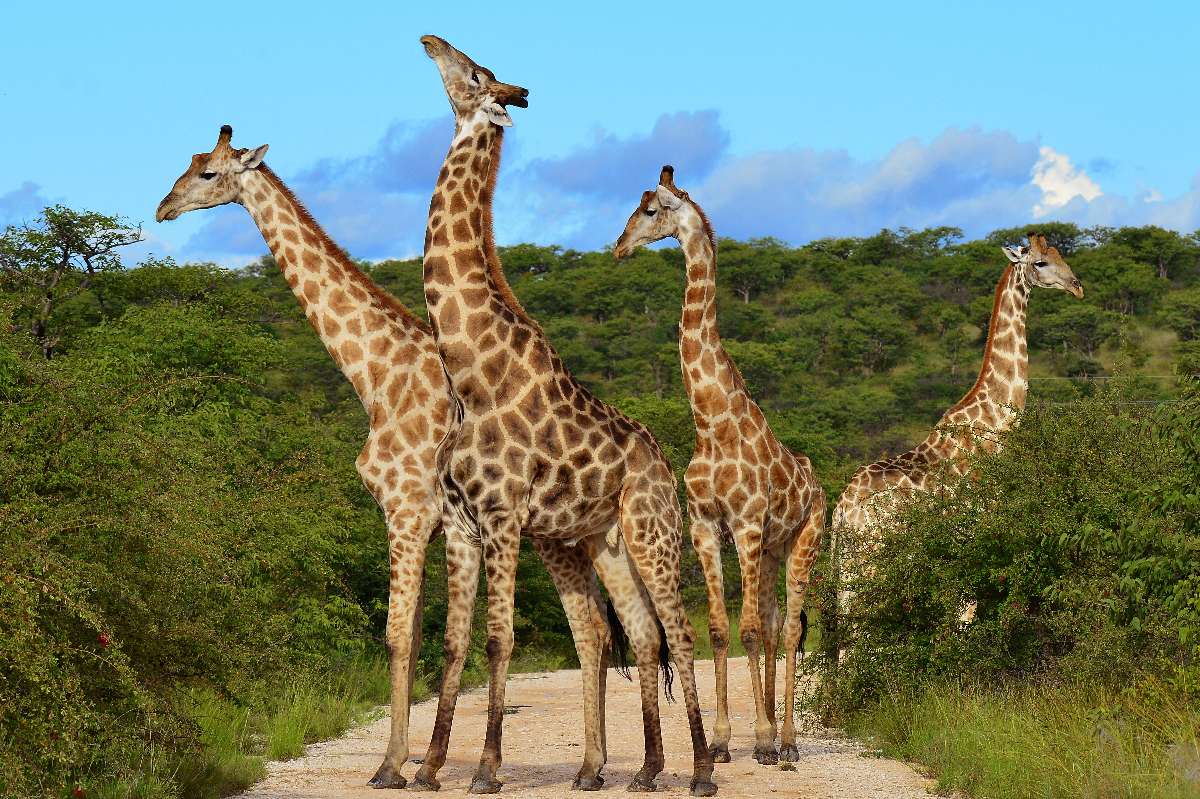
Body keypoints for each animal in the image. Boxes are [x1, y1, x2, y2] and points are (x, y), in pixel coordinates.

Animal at [154, 127, 627, 790]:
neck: (375, 373)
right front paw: (415, 759)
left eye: (207, 173)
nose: (162, 208)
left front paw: (391, 766)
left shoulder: (404, 510)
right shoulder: (428, 522)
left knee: (597, 627)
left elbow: (398, 633)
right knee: (601, 629)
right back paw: (597, 762)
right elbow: (423, 633)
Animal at [415, 35, 716, 796]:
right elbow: (455, 641)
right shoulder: (460, 521)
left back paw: (701, 769)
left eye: (474, 74)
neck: (469, 371)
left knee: (680, 630)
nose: (430, 41)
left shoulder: (501, 515)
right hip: (600, 539)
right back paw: (633, 769)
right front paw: (424, 767)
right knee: (634, 632)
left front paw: (485, 769)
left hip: (651, 530)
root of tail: (662, 459)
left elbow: (499, 638)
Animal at [613, 166, 826, 765]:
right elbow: (720, 630)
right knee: (775, 622)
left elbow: (748, 630)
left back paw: (786, 741)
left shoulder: (747, 524)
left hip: (803, 541)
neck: (711, 424)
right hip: (774, 549)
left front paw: (761, 741)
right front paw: (727, 740)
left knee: (787, 628)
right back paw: (771, 728)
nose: (618, 247)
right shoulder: (706, 526)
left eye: (651, 210)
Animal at [831, 233, 1084, 617]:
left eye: (1061, 254)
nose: (1077, 286)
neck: (995, 422)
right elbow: (965, 615)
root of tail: (842, 510)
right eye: (1040, 262)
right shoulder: (974, 534)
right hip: (870, 562)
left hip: (847, 567)